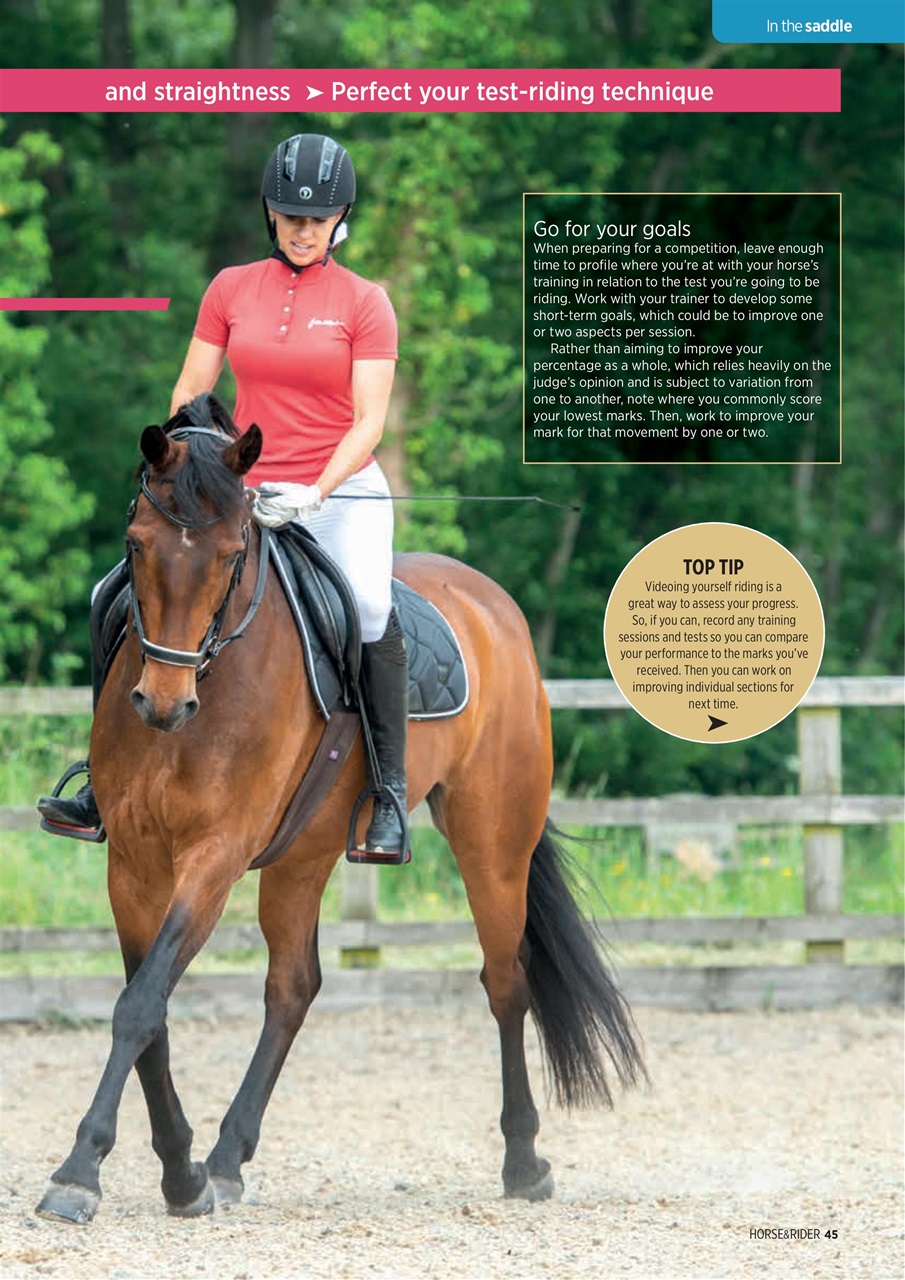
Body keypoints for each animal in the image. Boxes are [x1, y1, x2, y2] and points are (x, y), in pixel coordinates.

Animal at [36, 395, 644, 1224]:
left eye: (232, 552)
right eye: (136, 545)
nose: (163, 706)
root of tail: (490, 603)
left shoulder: (214, 858)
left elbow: (139, 1006)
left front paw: (80, 1172)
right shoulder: (132, 860)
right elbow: (148, 1005)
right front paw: (180, 1172)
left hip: (491, 841)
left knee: (504, 980)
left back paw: (523, 1161)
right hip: (303, 853)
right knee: (293, 986)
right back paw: (225, 1159)